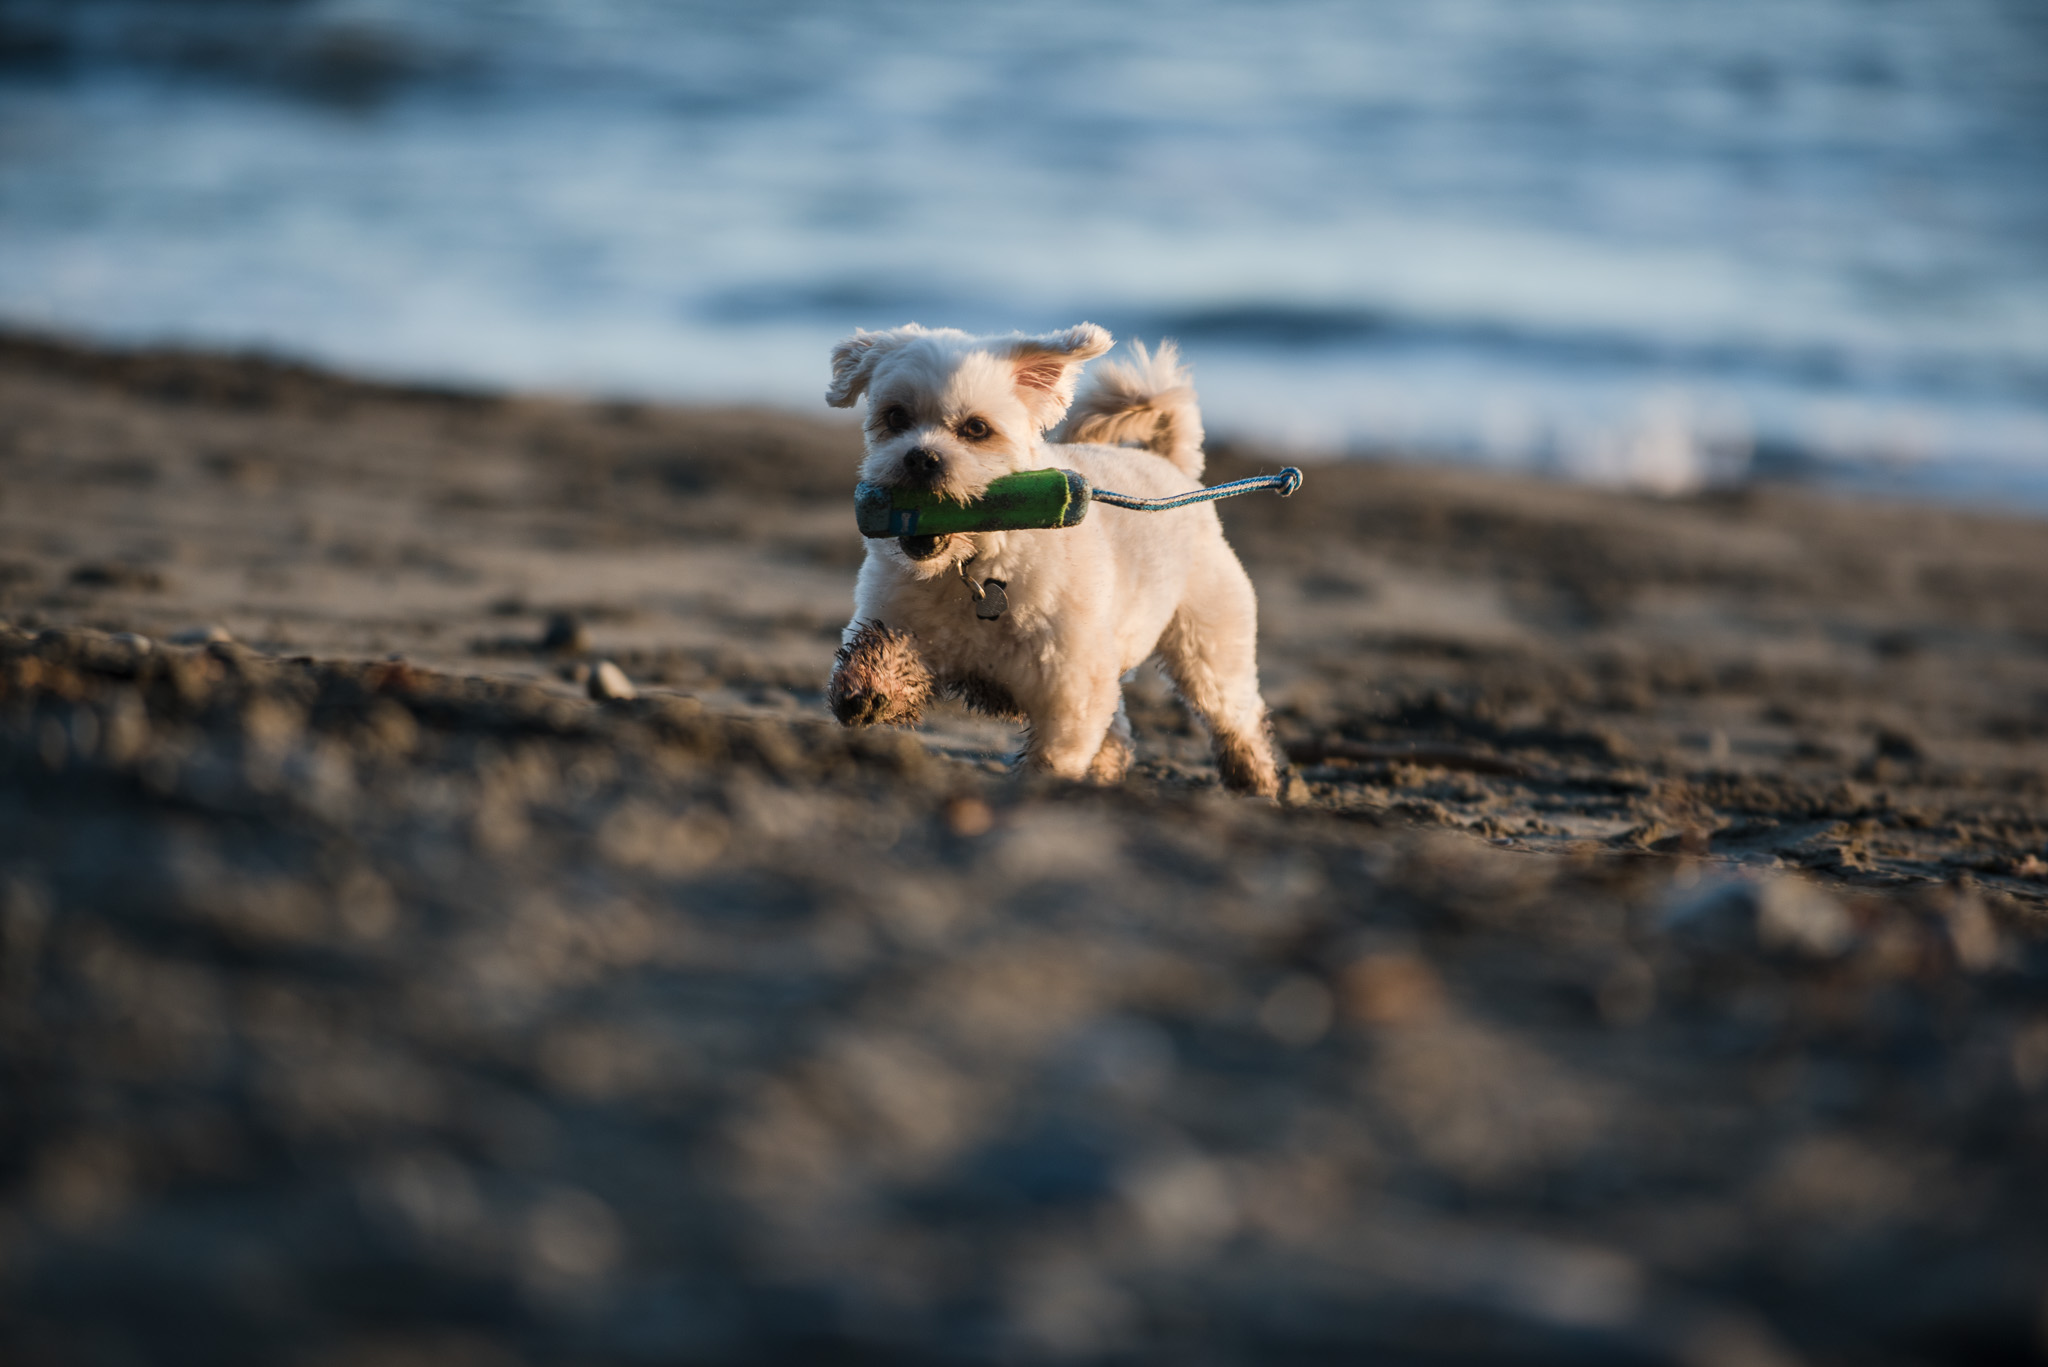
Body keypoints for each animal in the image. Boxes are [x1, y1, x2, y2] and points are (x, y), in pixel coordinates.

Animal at [819, 323, 1277, 791]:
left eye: (976, 428)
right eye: (895, 417)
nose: (920, 458)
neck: (976, 565)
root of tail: (1171, 465)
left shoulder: (1070, 684)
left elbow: (1059, 750)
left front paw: (1041, 782)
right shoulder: (900, 618)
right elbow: (883, 649)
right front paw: (868, 691)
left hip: (1209, 643)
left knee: (1233, 715)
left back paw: (1255, 779)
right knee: (1121, 728)